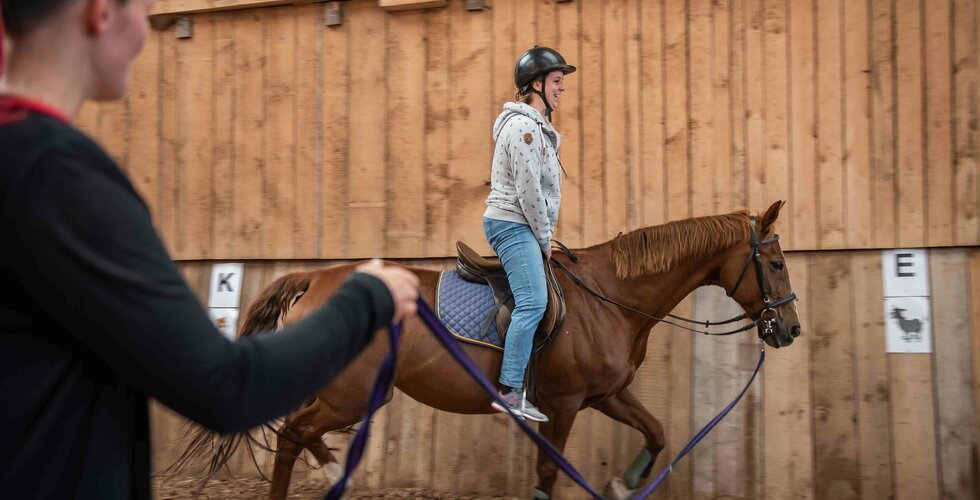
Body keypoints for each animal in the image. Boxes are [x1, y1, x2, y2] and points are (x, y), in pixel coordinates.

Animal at [180, 200, 800, 500]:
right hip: (348, 396)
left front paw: (623, 485)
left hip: (351, 395)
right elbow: (548, 476)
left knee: (296, 434)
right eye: (774, 262)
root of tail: (318, 278)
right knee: (293, 433)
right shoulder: (563, 406)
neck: (612, 297)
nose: (789, 329)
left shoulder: (605, 395)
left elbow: (657, 431)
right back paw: (330, 474)